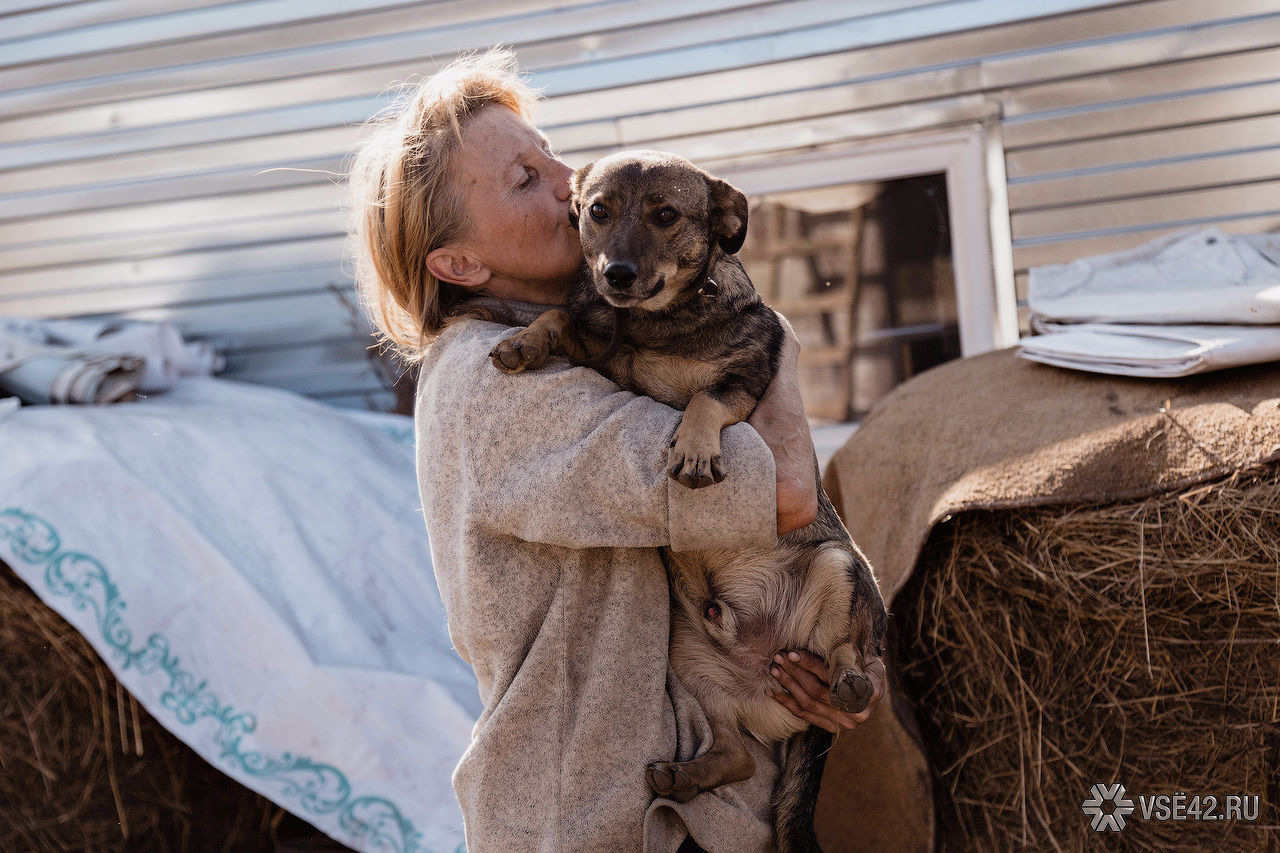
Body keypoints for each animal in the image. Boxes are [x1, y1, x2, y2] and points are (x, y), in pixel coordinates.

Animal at [483, 149, 885, 845]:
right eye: (598, 211)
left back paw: (853, 683)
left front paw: (695, 451)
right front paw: (525, 339)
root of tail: (765, 677)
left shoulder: (745, 383)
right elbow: (560, 318)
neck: (650, 325)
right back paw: (681, 776)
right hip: (692, 661)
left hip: (838, 571)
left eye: (666, 215)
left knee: (845, 653)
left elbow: (704, 397)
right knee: (736, 756)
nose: (615, 274)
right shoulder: (597, 349)